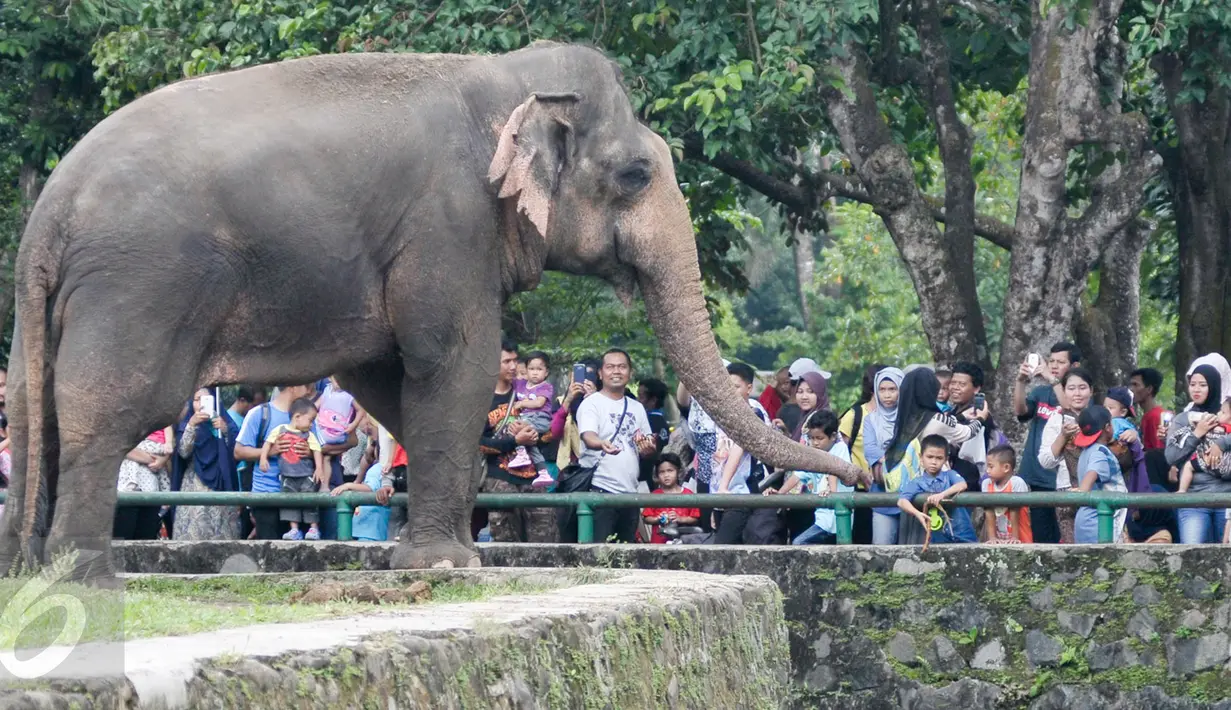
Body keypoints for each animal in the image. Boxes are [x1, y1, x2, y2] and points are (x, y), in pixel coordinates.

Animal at [2, 41, 866, 578]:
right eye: (634, 174)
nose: (856, 472)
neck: (503, 82)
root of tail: (52, 210)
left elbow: (388, 375)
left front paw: (437, 545)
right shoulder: (448, 220)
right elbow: (452, 361)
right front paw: (450, 564)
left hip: (61, 305)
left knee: (36, 410)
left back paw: (27, 574)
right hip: (142, 282)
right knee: (112, 410)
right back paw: (82, 578)